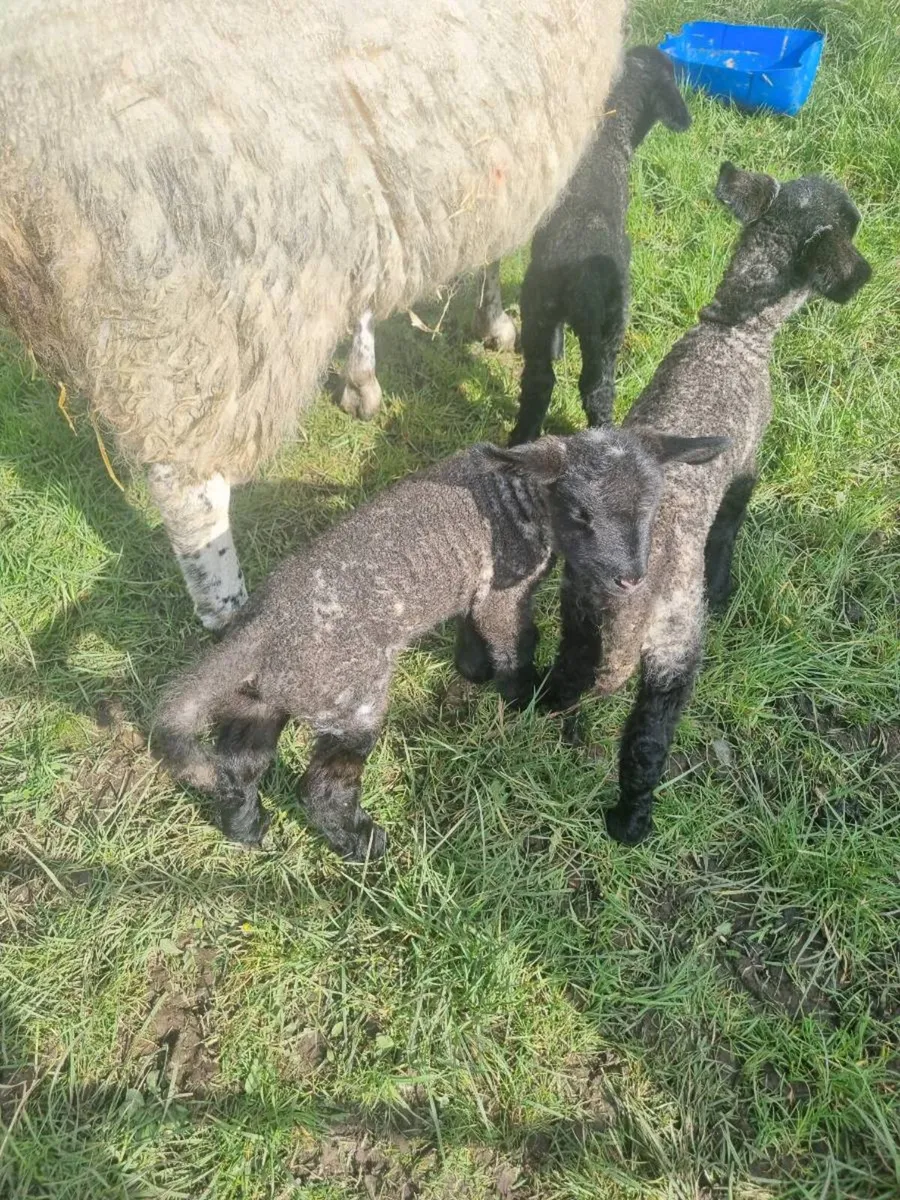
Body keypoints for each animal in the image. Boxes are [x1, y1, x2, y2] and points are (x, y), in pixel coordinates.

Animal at [0, 0, 627, 630]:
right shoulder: (508, 139)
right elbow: (495, 246)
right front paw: (494, 322)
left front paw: (361, 380)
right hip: (187, 294)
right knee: (190, 493)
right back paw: (231, 614)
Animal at [152, 426, 729, 860]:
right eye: (582, 513)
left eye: (653, 508)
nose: (631, 579)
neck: (520, 496)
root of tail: (260, 631)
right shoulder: (504, 591)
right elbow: (517, 643)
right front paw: (527, 700)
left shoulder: (477, 588)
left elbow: (476, 637)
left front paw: (474, 672)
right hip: (351, 696)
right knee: (321, 789)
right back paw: (364, 844)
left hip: (262, 698)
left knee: (237, 767)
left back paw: (247, 830)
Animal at [510, 45, 691, 445]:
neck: (609, 128)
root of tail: (579, 277)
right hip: (607, 328)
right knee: (596, 389)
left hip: (540, 310)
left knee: (540, 381)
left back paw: (521, 439)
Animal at [541, 164, 872, 846]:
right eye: (851, 224)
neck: (735, 333)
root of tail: (631, 601)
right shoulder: (746, 467)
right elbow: (729, 529)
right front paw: (723, 589)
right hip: (674, 649)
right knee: (647, 741)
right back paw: (630, 823)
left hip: (577, 609)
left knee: (573, 669)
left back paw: (540, 704)